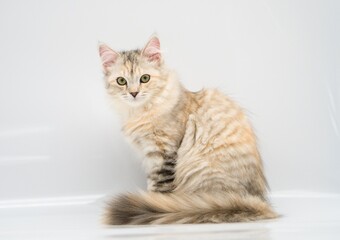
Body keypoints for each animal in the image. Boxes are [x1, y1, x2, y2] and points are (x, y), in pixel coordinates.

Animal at [97, 36, 276, 224]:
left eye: (145, 78)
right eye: (121, 81)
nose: (134, 93)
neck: (140, 112)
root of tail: (255, 200)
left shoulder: (163, 153)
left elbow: (159, 189)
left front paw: (153, 203)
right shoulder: (150, 156)